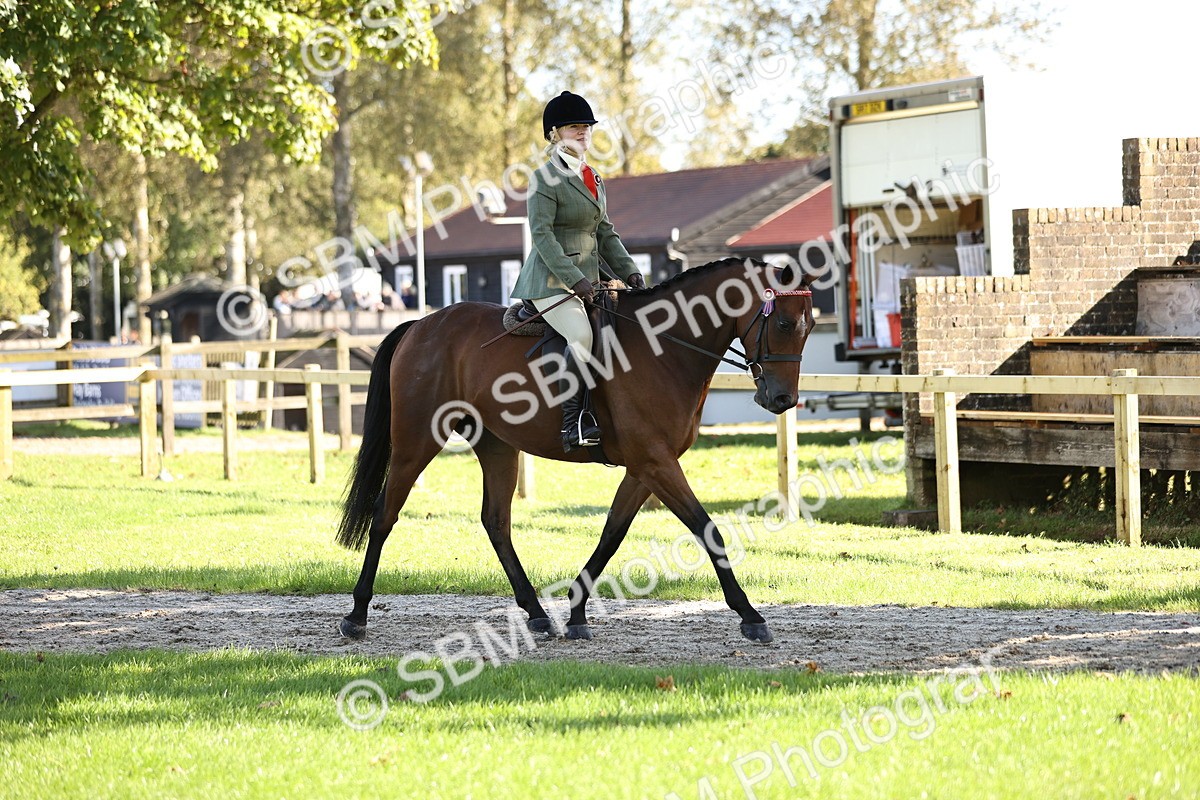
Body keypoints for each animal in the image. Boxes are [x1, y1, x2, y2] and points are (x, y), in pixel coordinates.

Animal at [336, 256, 815, 644]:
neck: (664, 347)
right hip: (417, 441)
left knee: (496, 521)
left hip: (497, 446)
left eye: (808, 327)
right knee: (385, 514)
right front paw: (750, 616)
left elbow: (612, 533)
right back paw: (356, 615)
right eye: (783, 324)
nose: (782, 400)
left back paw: (536, 614)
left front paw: (577, 611)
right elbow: (706, 528)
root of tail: (421, 325)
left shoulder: (645, 467)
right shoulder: (655, 462)